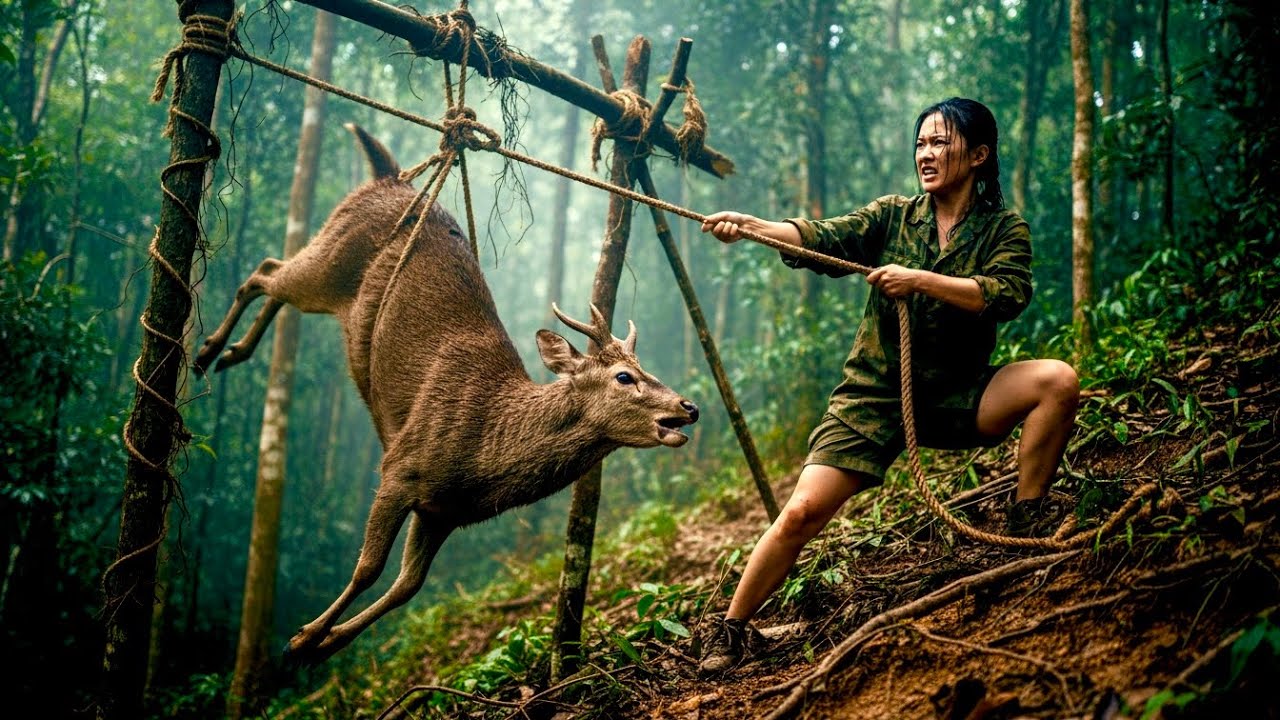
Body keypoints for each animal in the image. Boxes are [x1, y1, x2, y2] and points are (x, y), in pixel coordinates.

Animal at [194, 124, 699, 664]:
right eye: (624, 377)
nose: (688, 407)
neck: (484, 454)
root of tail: (390, 176)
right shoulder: (402, 466)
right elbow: (369, 567)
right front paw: (303, 637)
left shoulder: (442, 511)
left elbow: (407, 586)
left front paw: (324, 642)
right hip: (332, 256)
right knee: (264, 271)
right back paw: (208, 351)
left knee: (272, 278)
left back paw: (233, 353)